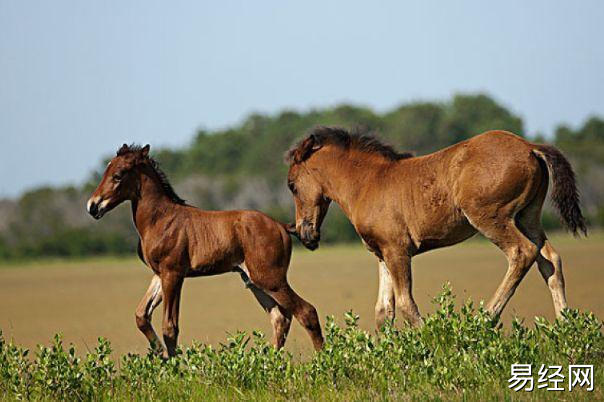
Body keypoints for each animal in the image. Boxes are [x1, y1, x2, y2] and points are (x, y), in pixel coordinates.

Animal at [87, 143, 324, 356]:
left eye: (118, 175)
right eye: (106, 170)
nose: (93, 206)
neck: (161, 219)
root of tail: (281, 226)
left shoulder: (173, 273)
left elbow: (170, 327)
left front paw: (175, 369)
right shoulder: (159, 274)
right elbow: (141, 316)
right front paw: (161, 355)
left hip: (270, 279)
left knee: (307, 312)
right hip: (254, 281)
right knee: (280, 318)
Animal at [286, 127, 588, 328]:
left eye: (291, 185)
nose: (304, 233)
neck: (368, 182)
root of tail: (529, 146)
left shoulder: (397, 251)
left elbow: (406, 304)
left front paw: (427, 346)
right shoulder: (382, 253)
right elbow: (383, 311)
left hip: (491, 217)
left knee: (521, 252)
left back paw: (485, 319)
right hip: (528, 217)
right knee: (550, 260)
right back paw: (566, 326)